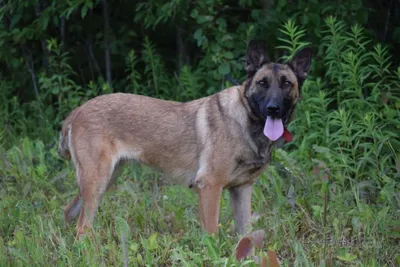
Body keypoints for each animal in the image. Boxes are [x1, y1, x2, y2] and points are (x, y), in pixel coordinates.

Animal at [57, 39, 312, 237]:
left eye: (286, 84)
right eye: (262, 83)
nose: (273, 109)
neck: (246, 120)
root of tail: (76, 111)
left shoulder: (242, 189)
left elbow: (245, 236)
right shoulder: (209, 186)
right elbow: (212, 234)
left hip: (105, 180)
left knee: (69, 213)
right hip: (97, 180)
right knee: (82, 228)